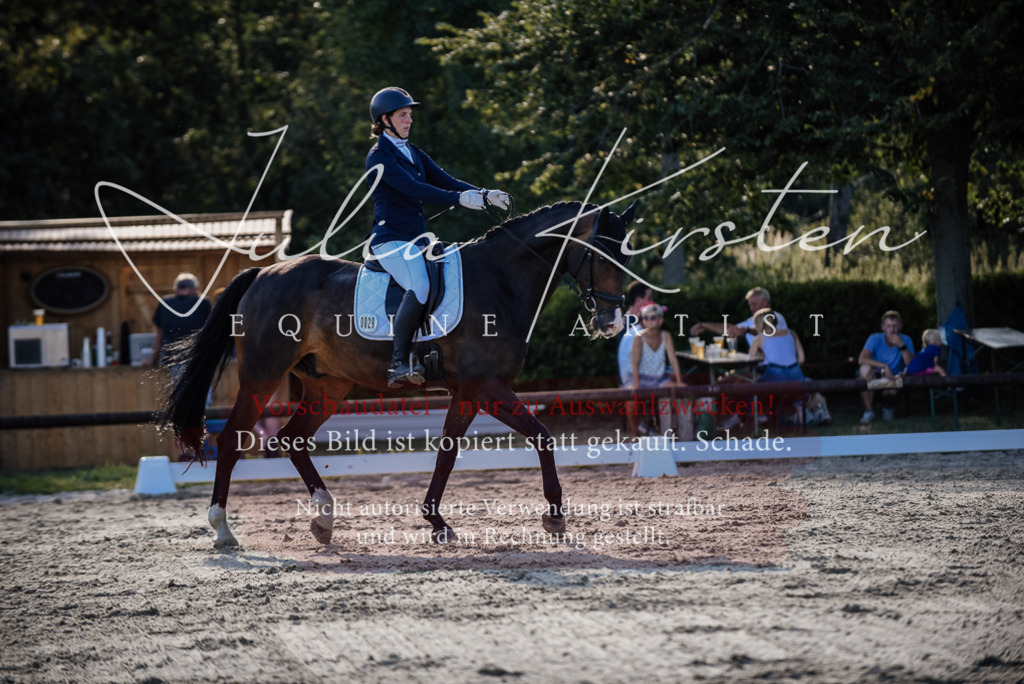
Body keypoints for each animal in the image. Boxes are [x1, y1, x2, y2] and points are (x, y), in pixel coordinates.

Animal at [165, 200, 638, 547]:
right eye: (600, 255)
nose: (612, 323)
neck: (500, 280)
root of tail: (265, 272)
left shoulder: (467, 391)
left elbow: (447, 452)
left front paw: (437, 521)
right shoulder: (486, 385)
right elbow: (542, 435)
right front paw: (555, 518)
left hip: (327, 385)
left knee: (292, 439)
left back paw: (324, 520)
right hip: (262, 377)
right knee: (231, 440)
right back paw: (223, 530)